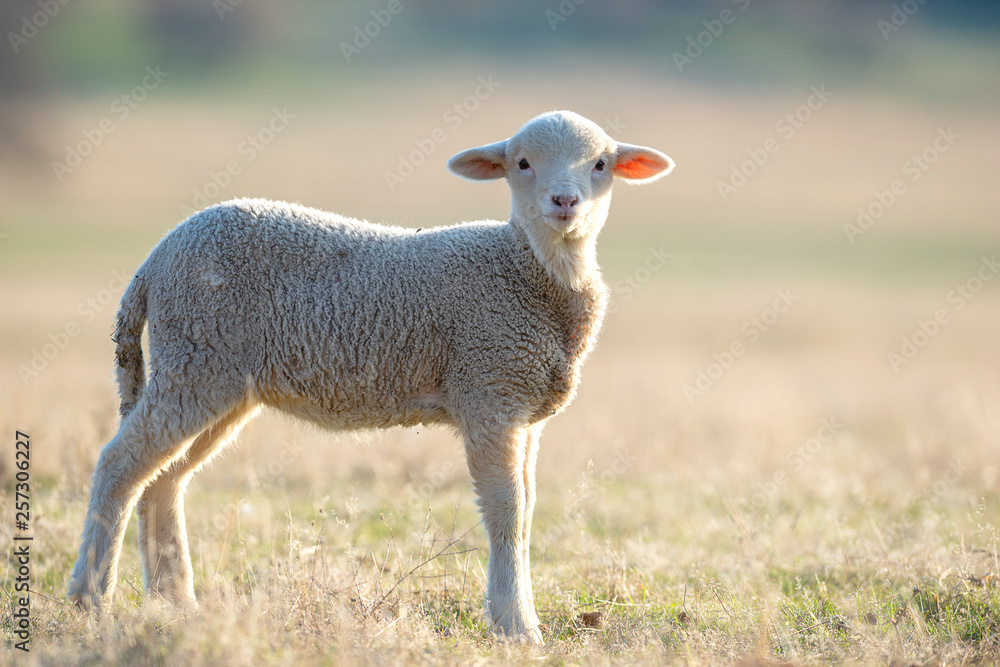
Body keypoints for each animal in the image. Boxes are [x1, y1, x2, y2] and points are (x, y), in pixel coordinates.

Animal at [67, 110, 673, 643]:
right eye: (522, 163)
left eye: (601, 164)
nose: (564, 201)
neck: (528, 269)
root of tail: (153, 262)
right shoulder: (488, 390)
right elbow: (508, 512)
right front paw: (517, 628)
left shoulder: (524, 409)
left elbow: (526, 509)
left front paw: (518, 618)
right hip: (196, 359)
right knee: (119, 464)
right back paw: (89, 599)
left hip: (217, 378)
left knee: (163, 479)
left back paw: (177, 604)